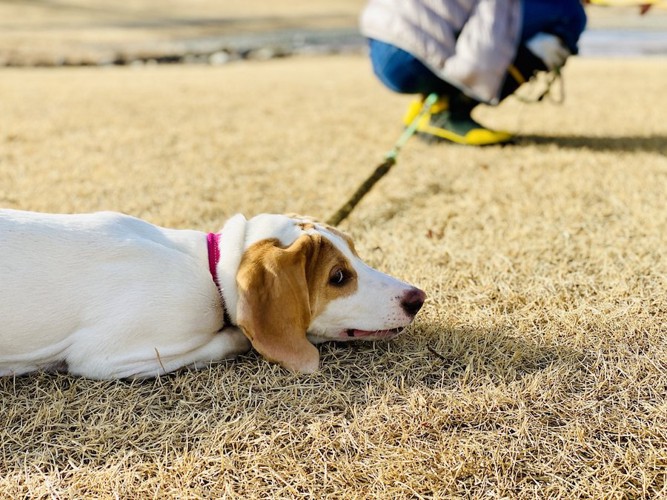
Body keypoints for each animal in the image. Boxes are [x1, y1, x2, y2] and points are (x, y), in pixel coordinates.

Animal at [0, 209, 426, 376]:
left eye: (356, 251)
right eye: (337, 276)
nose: (417, 298)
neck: (209, 270)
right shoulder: (106, 358)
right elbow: (231, 338)